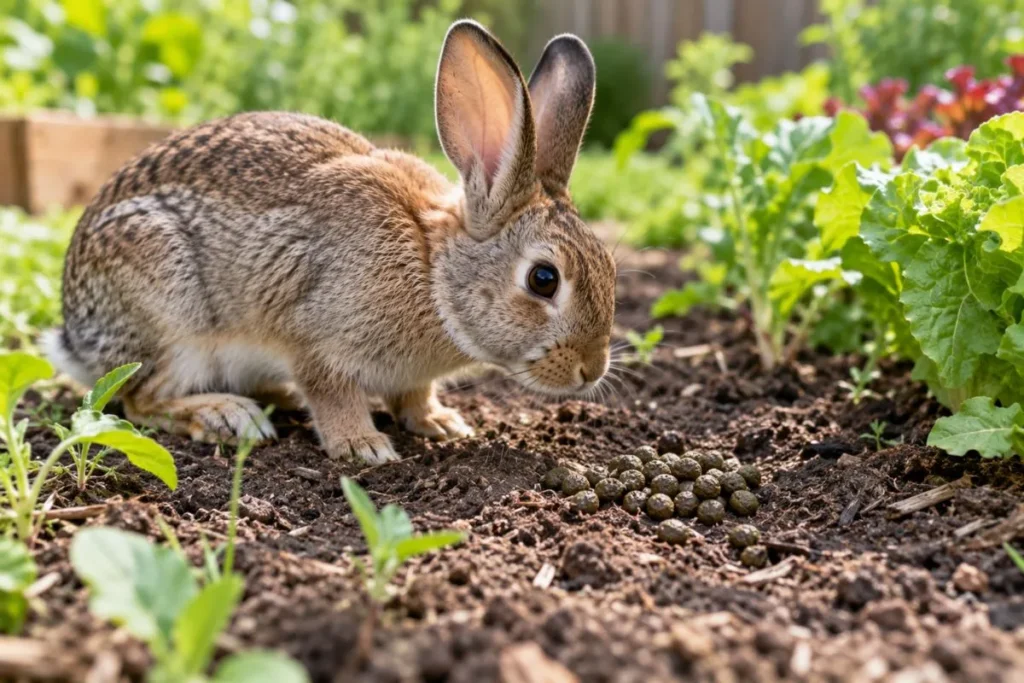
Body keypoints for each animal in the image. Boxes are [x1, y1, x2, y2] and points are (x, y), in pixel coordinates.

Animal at [43, 20, 616, 465]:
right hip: (170, 318)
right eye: (544, 279)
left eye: (610, 267)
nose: (591, 370)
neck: (433, 271)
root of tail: (76, 335)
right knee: (137, 399)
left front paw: (440, 422)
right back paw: (228, 414)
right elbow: (331, 392)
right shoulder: (316, 339)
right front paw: (364, 446)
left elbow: (415, 394)